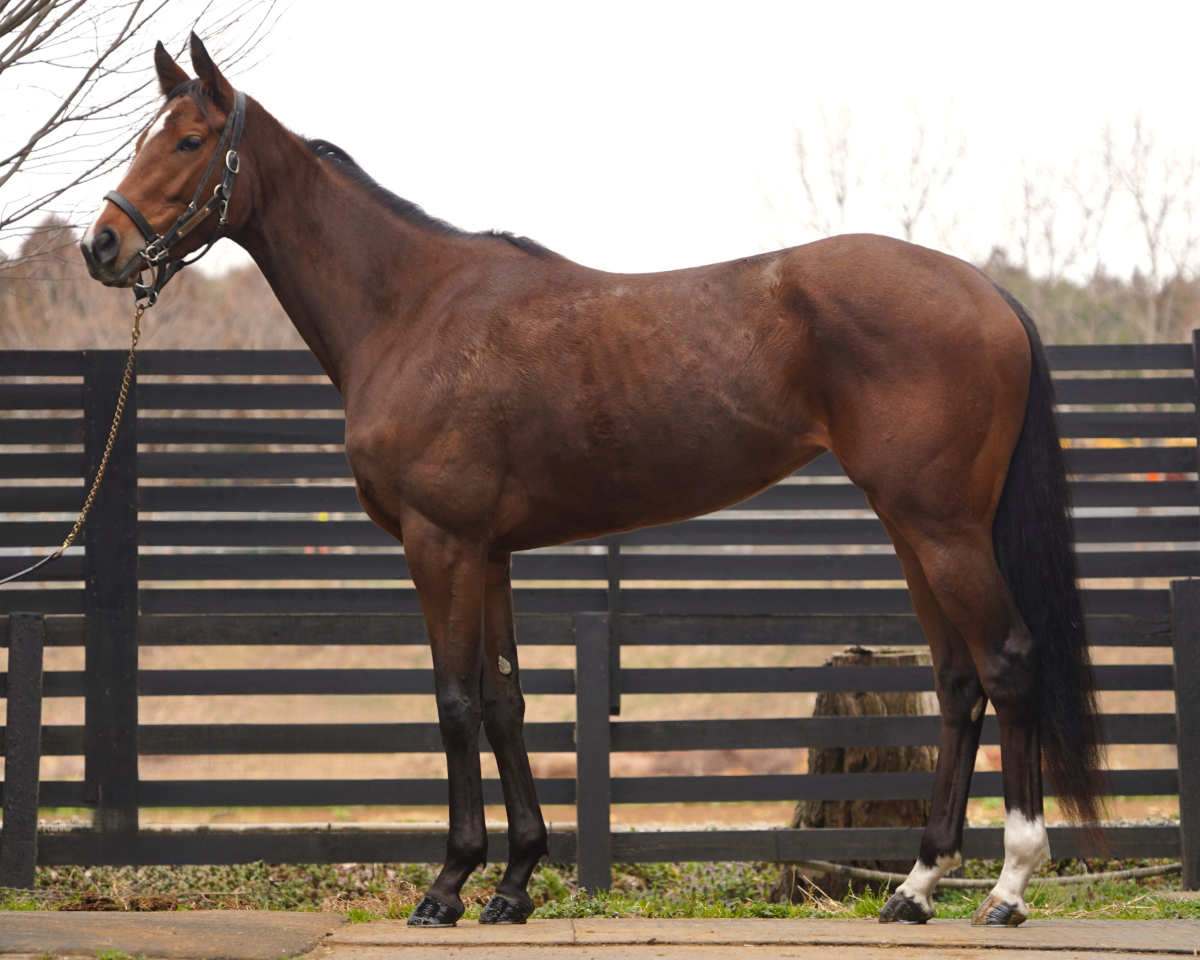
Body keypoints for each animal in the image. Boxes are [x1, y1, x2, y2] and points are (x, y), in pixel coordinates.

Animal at [80, 34, 1104, 927]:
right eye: (139, 136)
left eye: (189, 139)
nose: (101, 247)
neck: (410, 308)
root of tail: (986, 293)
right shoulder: (487, 554)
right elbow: (504, 702)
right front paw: (514, 883)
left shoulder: (439, 546)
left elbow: (453, 703)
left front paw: (449, 886)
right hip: (912, 528)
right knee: (959, 681)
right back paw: (917, 888)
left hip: (944, 529)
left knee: (1009, 663)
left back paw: (1008, 888)